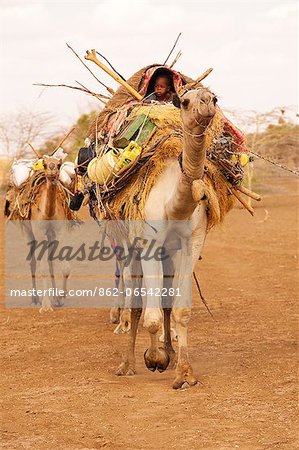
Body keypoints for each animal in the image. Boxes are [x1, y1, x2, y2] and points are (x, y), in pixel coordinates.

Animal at [115, 86, 218, 388]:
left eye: (215, 98)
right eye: (184, 101)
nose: (206, 103)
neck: (175, 205)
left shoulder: (191, 242)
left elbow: (180, 309)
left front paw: (183, 372)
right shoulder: (149, 243)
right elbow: (150, 317)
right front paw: (154, 359)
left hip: (168, 254)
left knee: (166, 302)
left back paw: (169, 353)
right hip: (128, 246)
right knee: (135, 303)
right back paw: (128, 364)